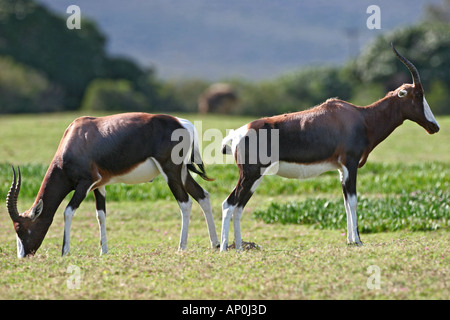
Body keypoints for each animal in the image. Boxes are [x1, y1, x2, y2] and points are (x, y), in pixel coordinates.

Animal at [6, 113, 219, 258]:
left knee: (185, 203)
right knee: (203, 196)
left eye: (20, 229)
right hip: (182, 173)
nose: (23, 256)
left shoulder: (84, 184)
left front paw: (65, 251)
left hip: (171, 172)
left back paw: (181, 247)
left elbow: (68, 211)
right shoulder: (99, 186)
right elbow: (101, 215)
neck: (76, 136)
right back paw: (215, 244)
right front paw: (104, 251)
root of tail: (183, 123)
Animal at [221, 44, 440, 250]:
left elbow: (345, 202)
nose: (434, 126)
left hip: (254, 177)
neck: (361, 117)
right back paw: (224, 248)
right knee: (229, 204)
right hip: (251, 175)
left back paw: (238, 247)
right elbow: (353, 201)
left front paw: (350, 240)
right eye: (418, 94)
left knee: (238, 206)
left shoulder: (341, 170)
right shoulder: (350, 164)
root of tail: (237, 134)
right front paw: (358, 241)